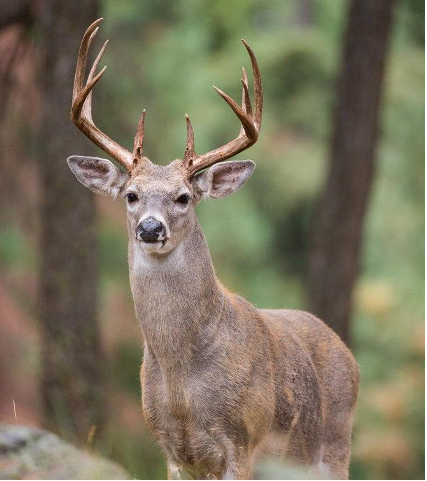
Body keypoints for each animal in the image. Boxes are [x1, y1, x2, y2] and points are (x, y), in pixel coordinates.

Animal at [67, 18, 362, 480]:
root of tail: (347, 352)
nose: (150, 227)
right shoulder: (171, 449)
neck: (182, 382)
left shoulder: (243, 441)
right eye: (131, 195)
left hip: (334, 447)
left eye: (184, 197)